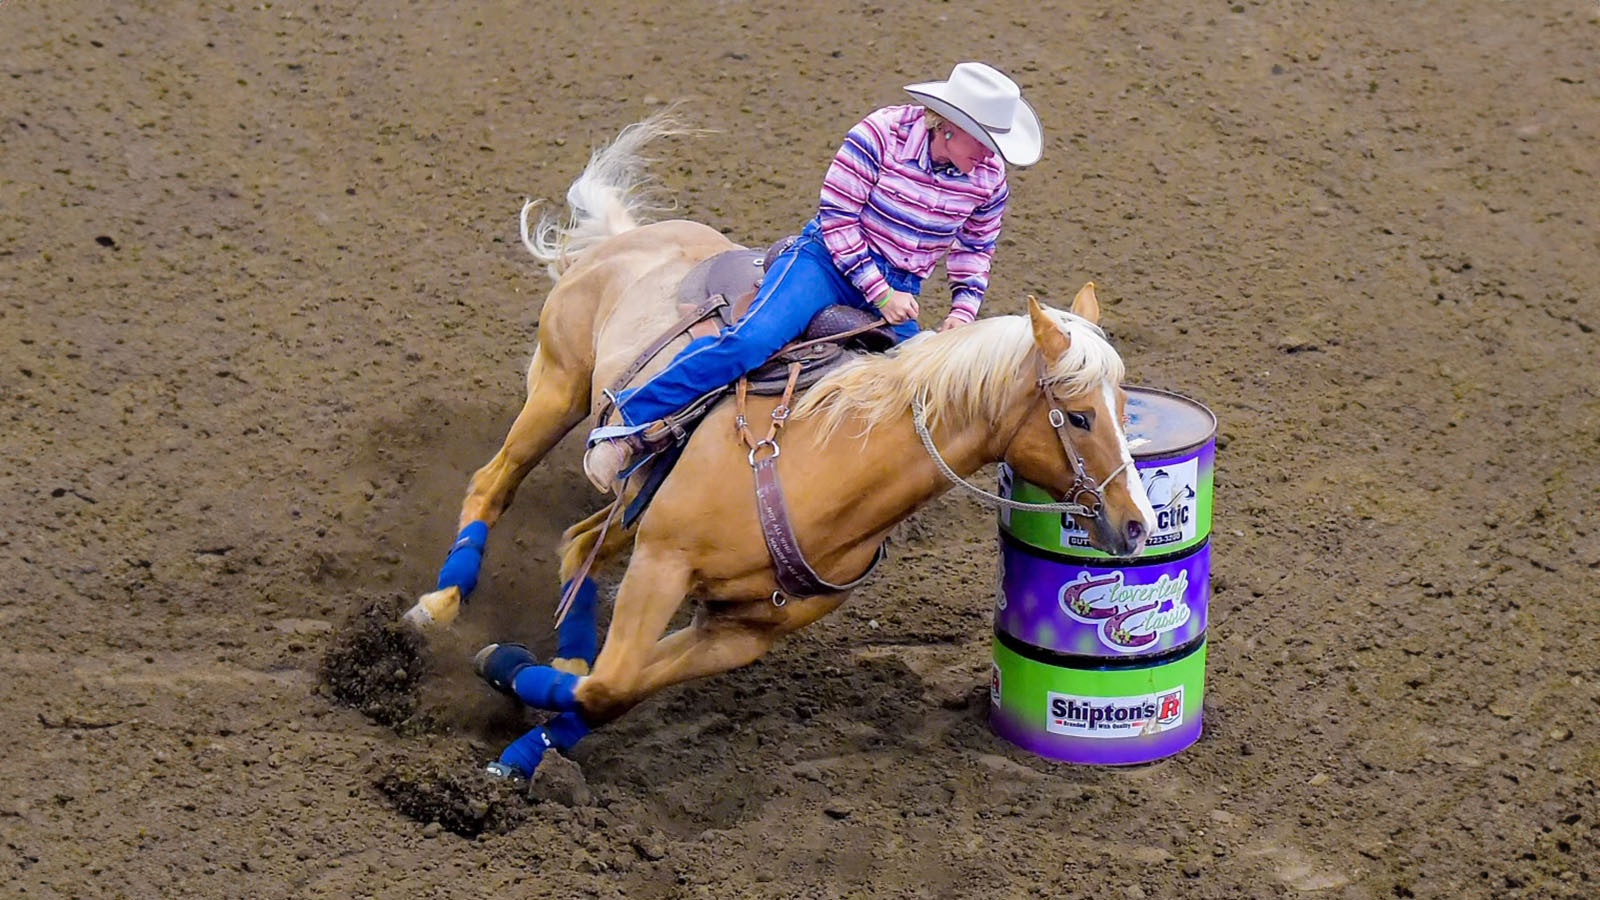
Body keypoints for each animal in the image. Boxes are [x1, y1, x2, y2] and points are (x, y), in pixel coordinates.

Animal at [400, 110, 1152, 771]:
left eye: (1124, 408)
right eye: (1079, 417)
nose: (1139, 525)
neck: (831, 468)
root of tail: (627, 236)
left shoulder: (740, 633)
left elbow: (613, 691)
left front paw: (527, 744)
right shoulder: (663, 563)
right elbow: (608, 683)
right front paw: (502, 666)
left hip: (635, 502)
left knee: (579, 544)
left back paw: (565, 649)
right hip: (557, 388)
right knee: (493, 485)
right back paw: (437, 606)